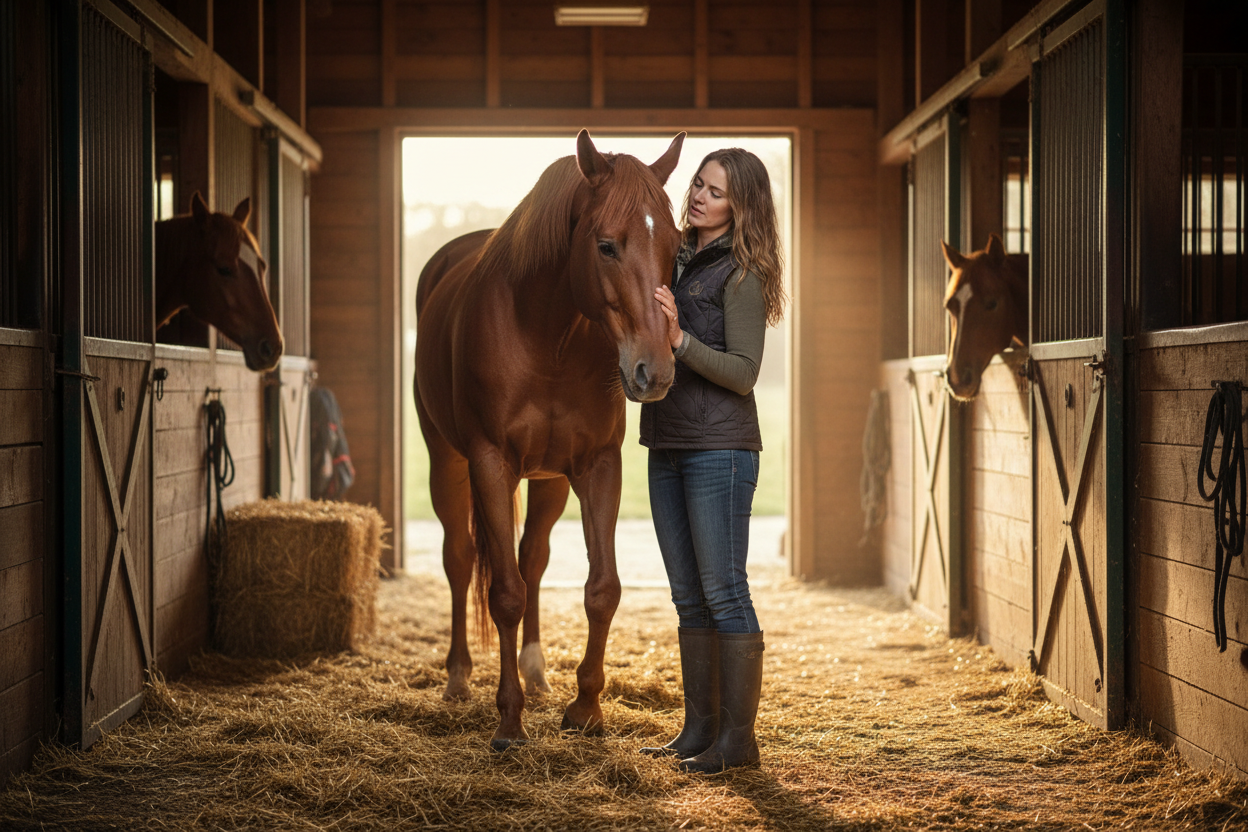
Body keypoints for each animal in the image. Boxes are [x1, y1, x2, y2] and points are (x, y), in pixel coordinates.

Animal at [414, 129, 684, 751]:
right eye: (606, 246)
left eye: (678, 245)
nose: (654, 371)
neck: (545, 334)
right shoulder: (490, 464)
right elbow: (504, 594)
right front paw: (508, 722)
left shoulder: (597, 467)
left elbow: (600, 588)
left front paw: (585, 709)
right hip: (447, 463)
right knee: (460, 559)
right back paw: (459, 677)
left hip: (549, 482)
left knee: (532, 558)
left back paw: (536, 672)